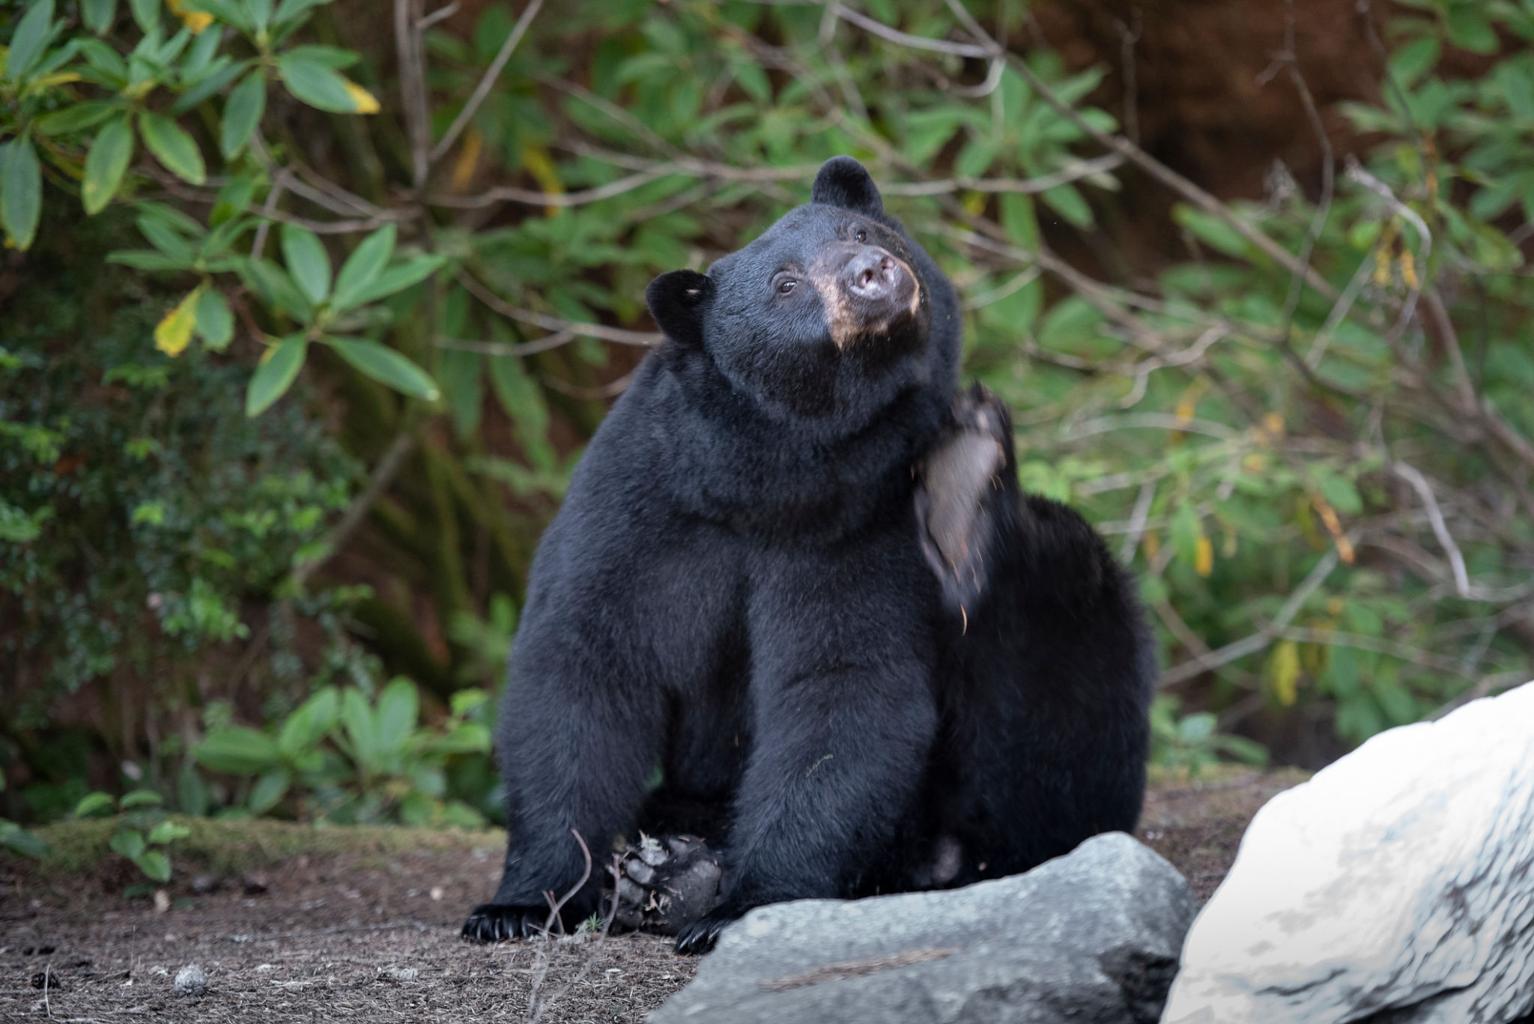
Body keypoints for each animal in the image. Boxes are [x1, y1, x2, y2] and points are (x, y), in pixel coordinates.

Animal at [460, 157, 1154, 954]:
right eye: (785, 282)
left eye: (858, 232)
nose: (871, 272)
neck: (770, 477)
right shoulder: (641, 500)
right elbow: (583, 664)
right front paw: (518, 902)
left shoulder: (859, 524)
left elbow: (842, 685)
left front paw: (740, 907)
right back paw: (667, 873)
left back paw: (965, 493)